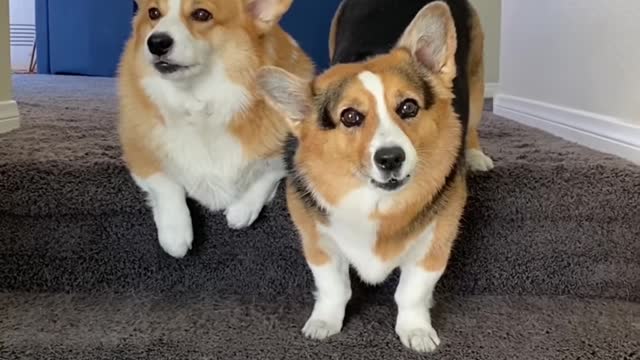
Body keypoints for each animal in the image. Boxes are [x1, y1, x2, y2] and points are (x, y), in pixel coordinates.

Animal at [119, 0, 314, 258]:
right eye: (153, 13)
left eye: (202, 14)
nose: (156, 42)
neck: (198, 99)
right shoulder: (138, 152)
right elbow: (166, 183)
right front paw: (175, 234)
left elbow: (268, 172)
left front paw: (242, 210)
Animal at [258, 0, 482, 352]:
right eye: (350, 117)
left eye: (408, 107)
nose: (390, 158)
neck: (376, 201)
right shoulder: (317, 240)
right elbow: (334, 287)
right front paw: (324, 322)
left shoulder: (435, 241)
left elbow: (412, 292)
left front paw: (416, 330)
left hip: (477, 78)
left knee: (472, 125)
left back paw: (477, 156)